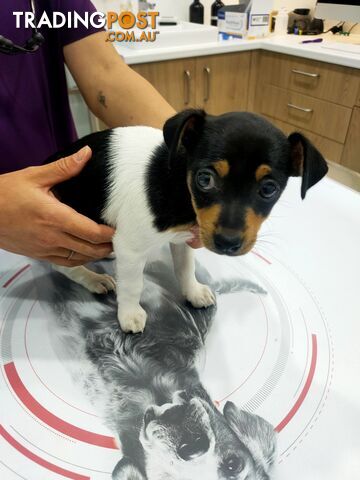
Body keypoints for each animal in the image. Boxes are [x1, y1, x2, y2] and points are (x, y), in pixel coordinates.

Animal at [47, 110, 330, 332]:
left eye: (269, 189)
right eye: (205, 179)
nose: (227, 242)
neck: (181, 188)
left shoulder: (183, 239)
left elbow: (185, 269)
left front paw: (192, 292)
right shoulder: (131, 248)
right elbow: (133, 285)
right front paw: (129, 314)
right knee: (62, 266)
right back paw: (93, 279)